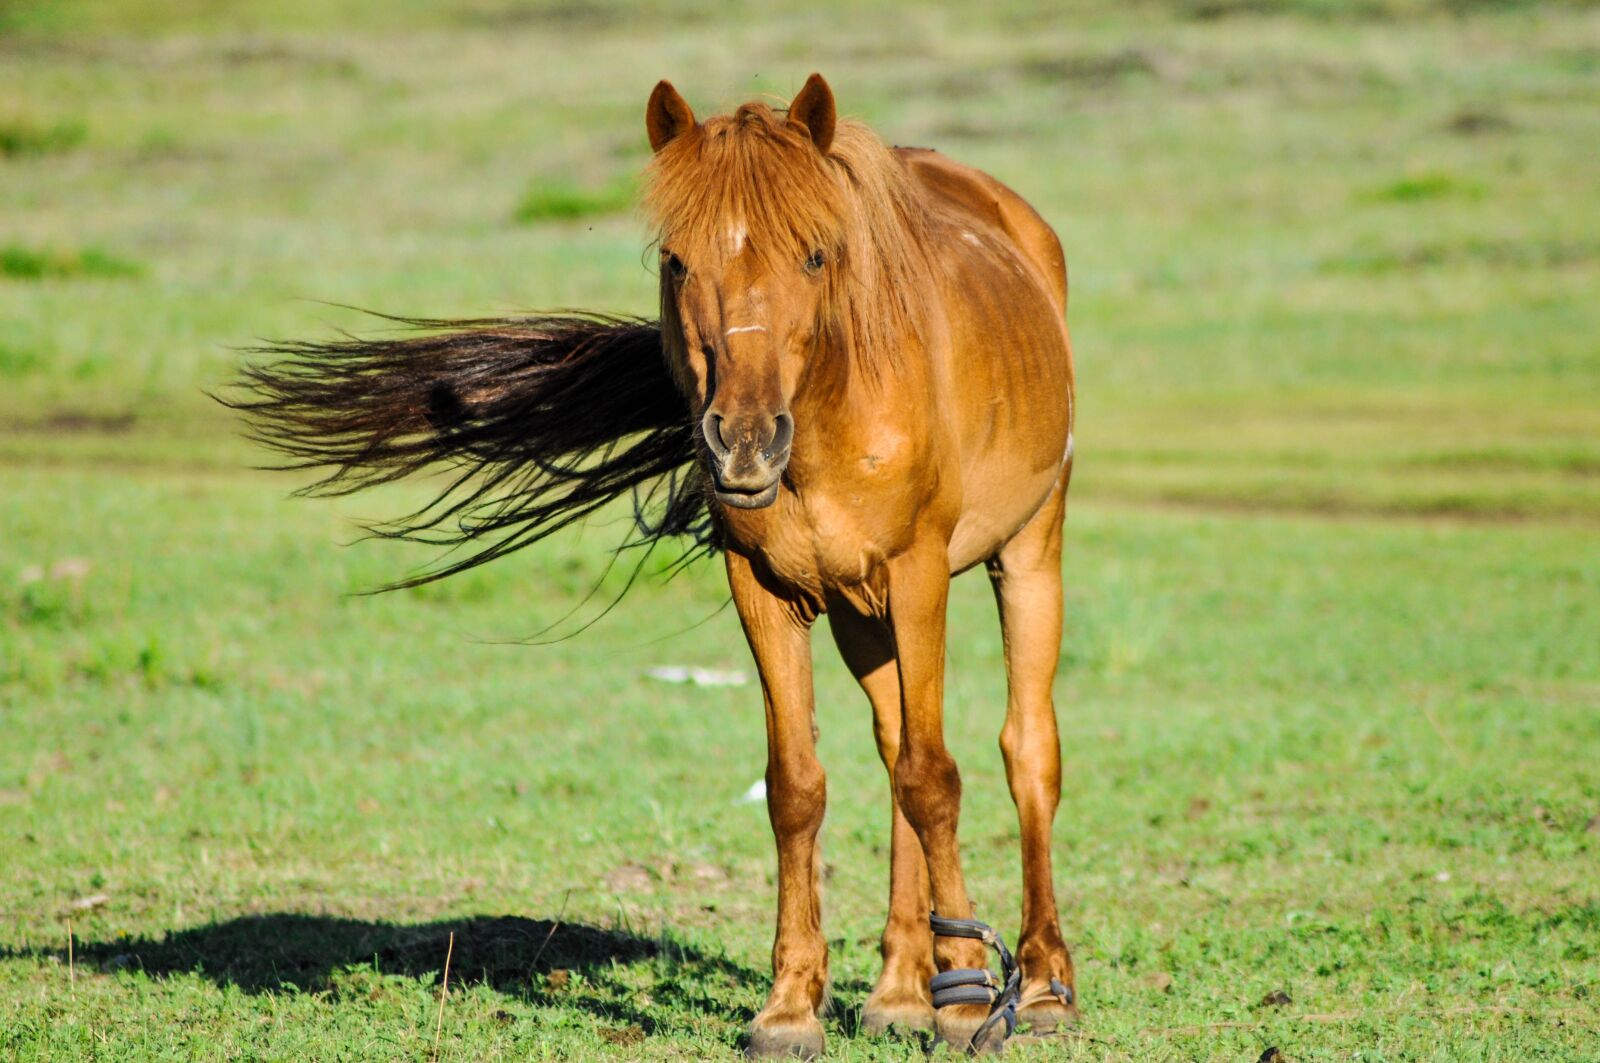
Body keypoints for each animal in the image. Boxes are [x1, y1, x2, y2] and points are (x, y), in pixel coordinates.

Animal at [228, 73, 1077, 1057]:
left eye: (816, 255)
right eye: (676, 261)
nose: (743, 442)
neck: (832, 413)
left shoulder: (918, 574)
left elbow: (936, 779)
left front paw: (972, 997)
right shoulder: (767, 587)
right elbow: (801, 786)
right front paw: (791, 1005)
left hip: (1026, 552)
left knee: (1026, 751)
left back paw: (1040, 985)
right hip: (861, 614)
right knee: (895, 742)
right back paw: (902, 987)